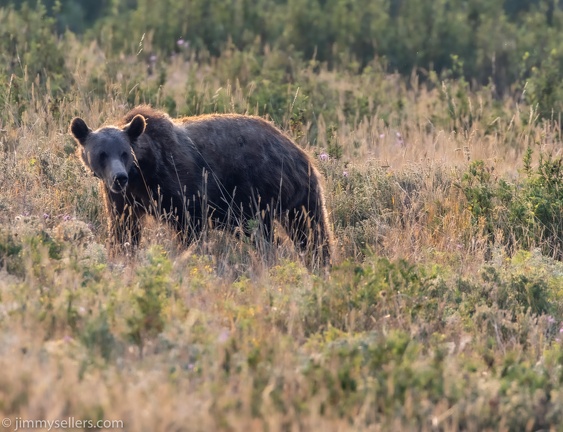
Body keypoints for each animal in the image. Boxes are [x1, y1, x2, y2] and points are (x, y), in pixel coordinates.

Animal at [71, 105, 334, 266]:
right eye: (102, 154)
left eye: (124, 152)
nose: (119, 177)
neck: (144, 171)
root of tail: (297, 150)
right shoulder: (124, 199)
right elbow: (123, 229)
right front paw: (121, 256)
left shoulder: (181, 184)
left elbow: (190, 226)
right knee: (305, 230)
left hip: (263, 189)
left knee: (302, 231)